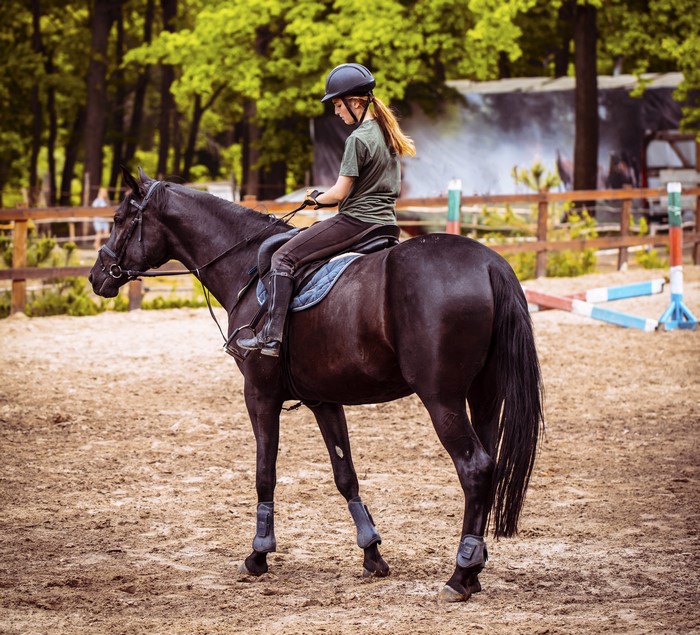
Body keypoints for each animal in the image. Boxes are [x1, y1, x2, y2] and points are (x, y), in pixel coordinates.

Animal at [89, 167, 543, 603]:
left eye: (119, 218)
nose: (97, 276)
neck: (246, 268)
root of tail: (489, 264)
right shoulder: (324, 400)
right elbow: (345, 475)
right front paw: (372, 553)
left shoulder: (259, 395)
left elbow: (265, 473)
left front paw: (258, 554)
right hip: (483, 395)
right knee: (488, 466)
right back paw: (474, 568)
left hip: (442, 399)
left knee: (475, 468)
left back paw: (459, 576)